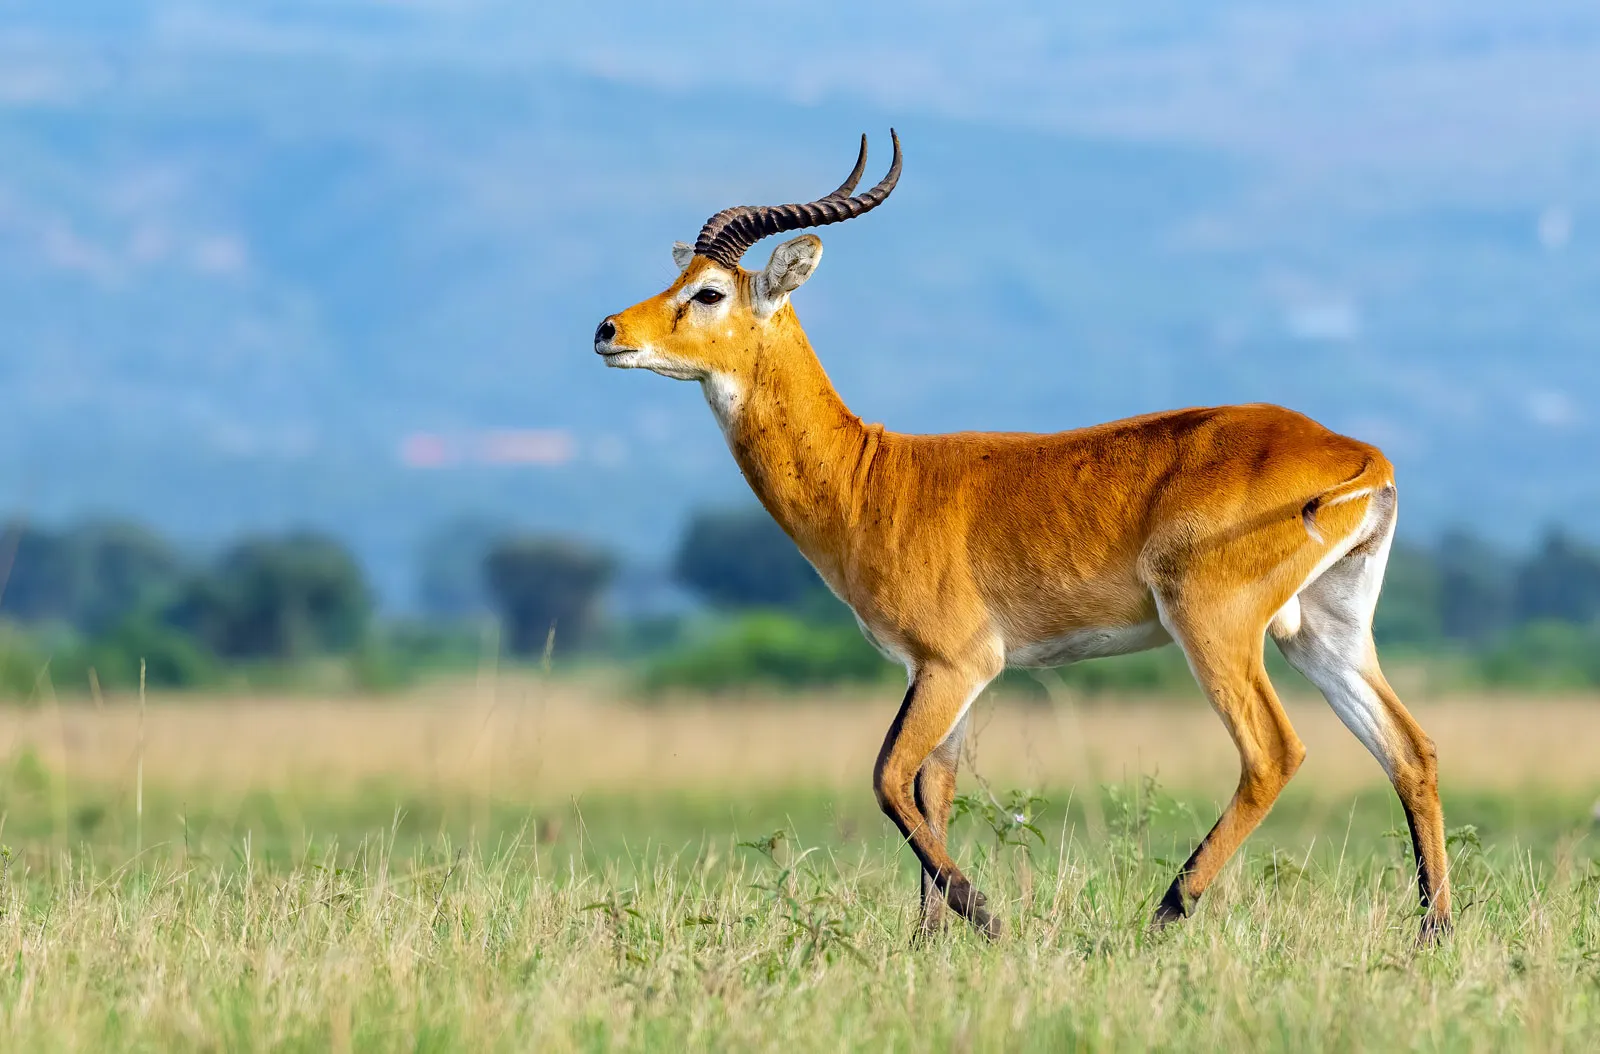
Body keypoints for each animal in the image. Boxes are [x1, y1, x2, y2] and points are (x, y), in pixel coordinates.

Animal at [594, 132, 1451, 943]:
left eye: (708, 292)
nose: (607, 330)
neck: (872, 476)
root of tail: (1356, 452)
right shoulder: (934, 672)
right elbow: (931, 788)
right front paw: (930, 939)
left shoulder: (960, 662)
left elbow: (887, 777)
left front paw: (986, 917)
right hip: (1324, 630)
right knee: (1409, 749)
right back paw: (1432, 931)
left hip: (1215, 625)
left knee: (1273, 752)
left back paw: (1165, 912)